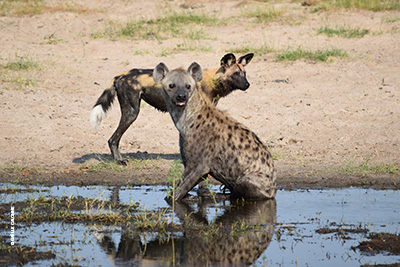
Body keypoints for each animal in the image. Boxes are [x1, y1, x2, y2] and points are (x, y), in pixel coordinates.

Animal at [90, 53, 253, 165]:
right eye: (235, 74)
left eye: (244, 73)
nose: (247, 85)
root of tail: (121, 75)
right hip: (131, 112)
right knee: (113, 139)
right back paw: (119, 161)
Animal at [152, 61, 276, 202]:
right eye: (171, 85)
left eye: (188, 86)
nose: (181, 96)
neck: (185, 119)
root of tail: (273, 190)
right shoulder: (189, 161)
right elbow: (180, 185)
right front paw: (188, 196)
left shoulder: (201, 164)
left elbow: (179, 190)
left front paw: (179, 197)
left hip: (249, 179)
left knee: (236, 193)